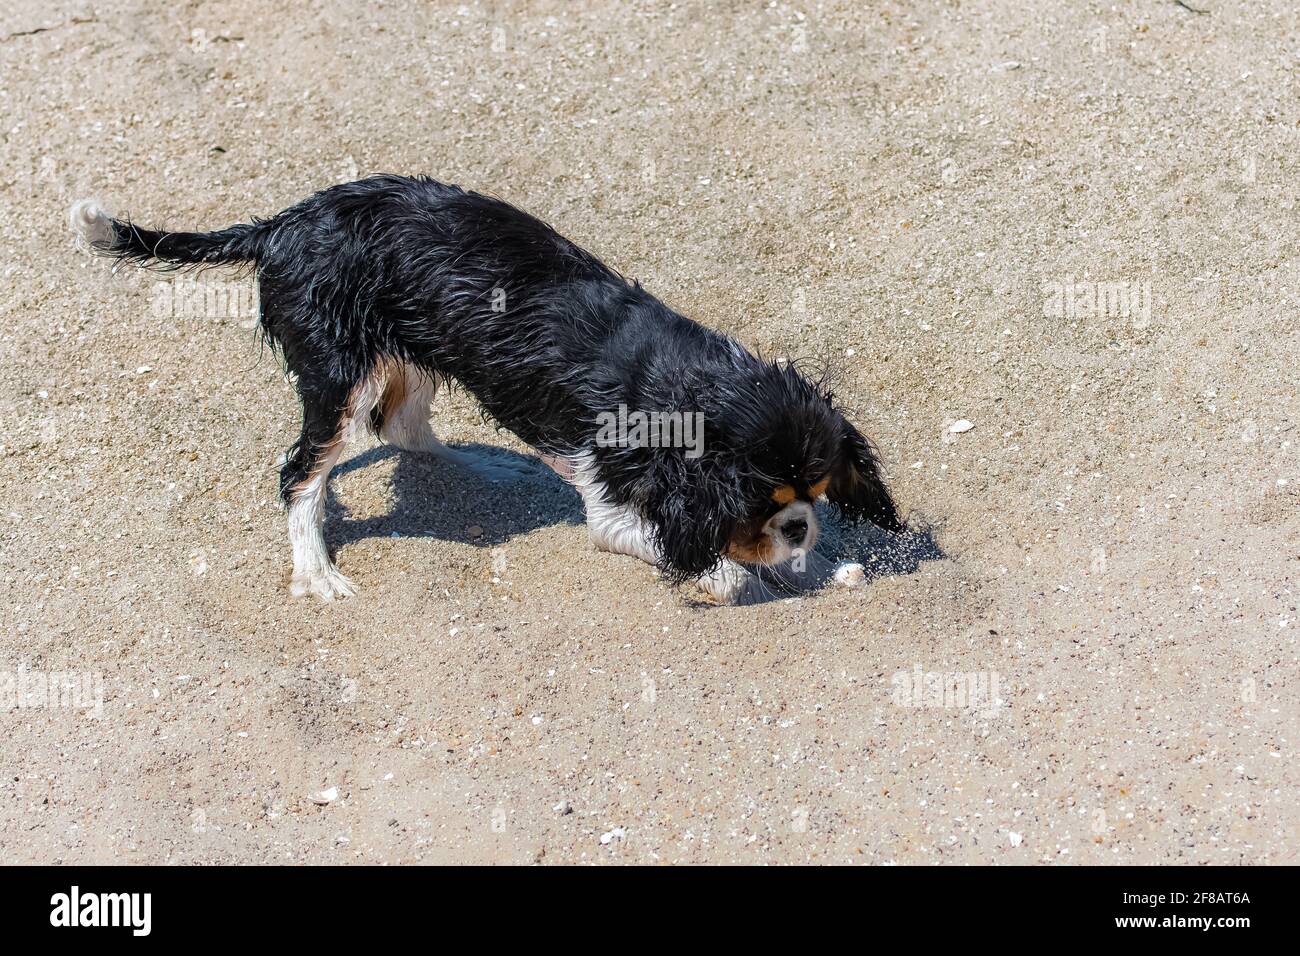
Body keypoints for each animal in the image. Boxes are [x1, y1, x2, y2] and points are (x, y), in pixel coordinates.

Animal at [71, 175, 904, 600]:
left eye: (817, 495)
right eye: (762, 502)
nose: (798, 528)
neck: (687, 385)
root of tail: (282, 223)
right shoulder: (613, 505)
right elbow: (703, 562)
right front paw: (741, 569)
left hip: (412, 350)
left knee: (400, 424)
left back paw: (489, 466)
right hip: (340, 373)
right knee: (300, 472)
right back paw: (316, 571)